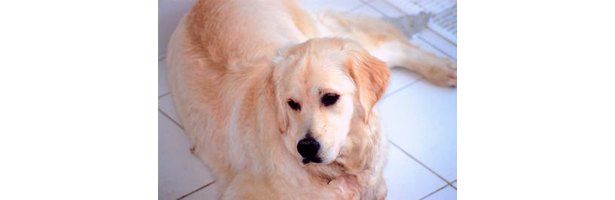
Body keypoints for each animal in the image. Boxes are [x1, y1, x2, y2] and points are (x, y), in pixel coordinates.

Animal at [166, 0, 454, 198]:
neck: (337, 172)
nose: (306, 147)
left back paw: (445, 68)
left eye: (330, 98)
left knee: (394, 47)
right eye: (292, 104)